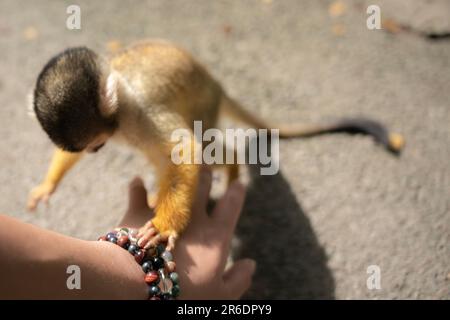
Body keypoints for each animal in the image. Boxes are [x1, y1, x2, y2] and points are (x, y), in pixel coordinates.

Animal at [26, 40, 402, 249]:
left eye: (96, 143)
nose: (95, 150)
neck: (118, 106)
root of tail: (216, 83)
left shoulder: (140, 113)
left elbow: (187, 153)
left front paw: (163, 227)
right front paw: (48, 184)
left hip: (204, 108)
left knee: (203, 144)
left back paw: (232, 169)